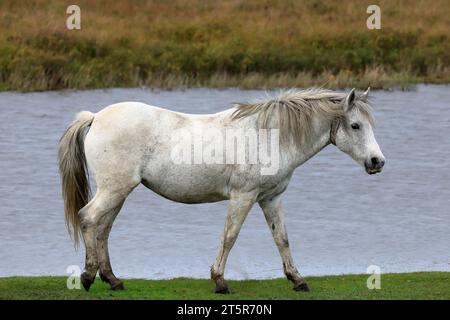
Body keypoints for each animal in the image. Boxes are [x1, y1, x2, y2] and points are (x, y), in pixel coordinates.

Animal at [58, 87, 384, 292]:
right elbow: (229, 237)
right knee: (89, 219)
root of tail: (96, 117)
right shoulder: (244, 196)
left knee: (103, 228)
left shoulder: (271, 198)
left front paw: (298, 280)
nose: (377, 162)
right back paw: (88, 276)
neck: (269, 136)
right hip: (114, 189)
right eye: (355, 125)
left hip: (118, 192)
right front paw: (219, 281)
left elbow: (282, 238)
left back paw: (112, 280)